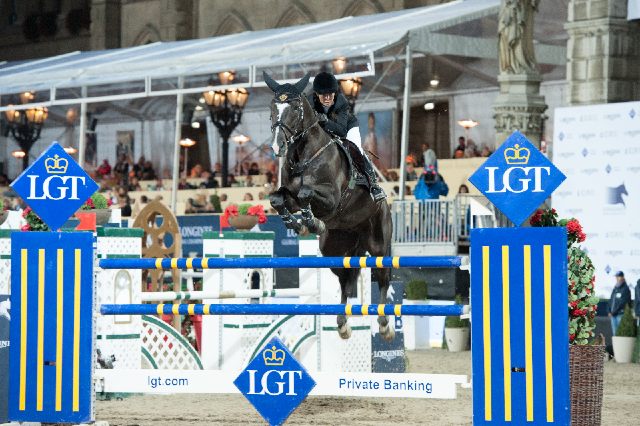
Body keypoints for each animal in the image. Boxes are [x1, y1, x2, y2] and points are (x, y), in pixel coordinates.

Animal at [264, 72, 396, 340]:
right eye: (272, 107)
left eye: (295, 108)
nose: (277, 147)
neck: (304, 156)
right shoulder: (290, 196)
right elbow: (278, 199)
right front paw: (297, 223)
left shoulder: (331, 199)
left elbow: (306, 193)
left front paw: (310, 221)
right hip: (335, 249)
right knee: (346, 279)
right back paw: (343, 324)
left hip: (378, 244)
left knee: (383, 277)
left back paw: (384, 325)